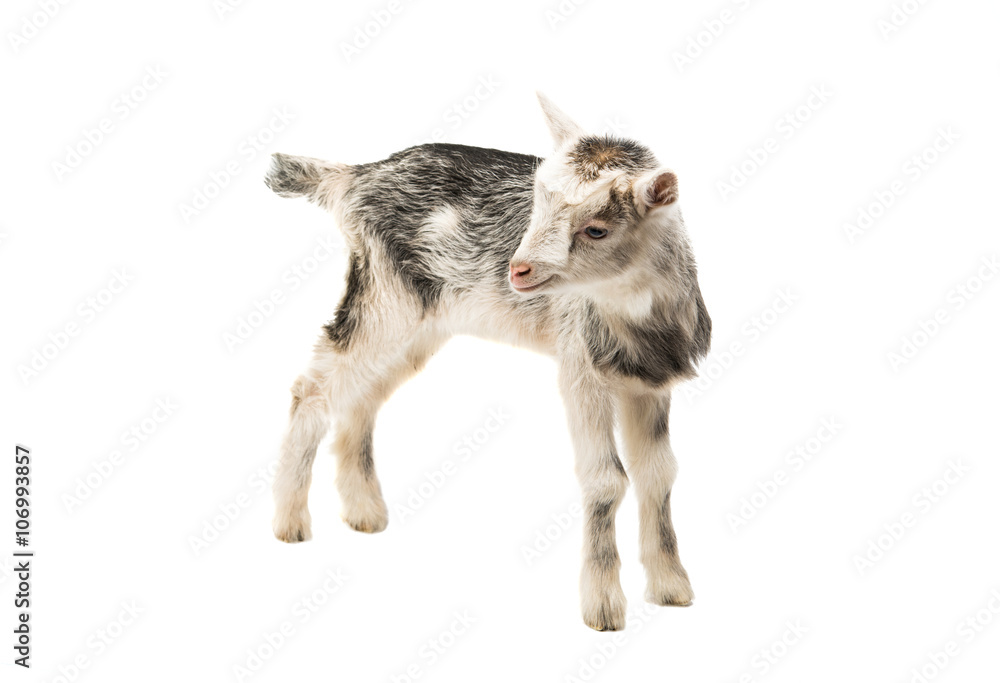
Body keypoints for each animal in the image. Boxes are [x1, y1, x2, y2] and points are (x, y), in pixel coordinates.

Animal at [264, 94, 711, 631]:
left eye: (597, 229)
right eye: (538, 204)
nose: (517, 270)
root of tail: (355, 176)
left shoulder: (650, 383)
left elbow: (659, 473)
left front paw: (671, 588)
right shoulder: (580, 368)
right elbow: (606, 479)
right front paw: (603, 607)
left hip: (419, 325)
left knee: (362, 397)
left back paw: (364, 513)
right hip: (383, 299)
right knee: (312, 386)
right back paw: (290, 522)